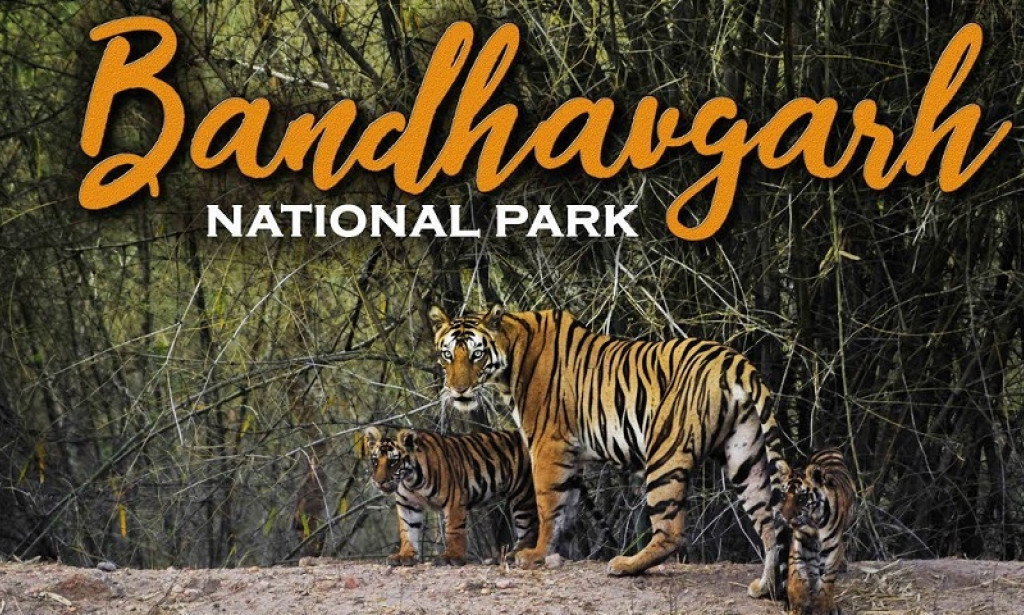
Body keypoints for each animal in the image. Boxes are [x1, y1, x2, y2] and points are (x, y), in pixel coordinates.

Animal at [362, 426, 538, 566]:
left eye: (393, 462)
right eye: (375, 461)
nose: (379, 482)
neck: (410, 480)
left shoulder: (454, 499)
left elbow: (453, 530)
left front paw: (451, 557)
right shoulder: (407, 504)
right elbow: (407, 530)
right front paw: (405, 555)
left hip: (522, 496)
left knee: (529, 529)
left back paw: (513, 555)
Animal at [427, 305, 790, 598]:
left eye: (476, 355)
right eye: (448, 355)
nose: (458, 390)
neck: (511, 354)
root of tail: (736, 362)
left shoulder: (547, 444)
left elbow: (547, 504)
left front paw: (535, 554)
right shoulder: (570, 454)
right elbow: (566, 507)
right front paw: (557, 553)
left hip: (665, 451)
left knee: (671, 531)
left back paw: (625, 565)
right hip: (745, 455)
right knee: (769, 523)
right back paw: (766, 587)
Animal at [779, 449, 856, 615]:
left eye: (801, 498)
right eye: (784, 495)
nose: (786, 517)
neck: (813, 522)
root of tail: (829, 448)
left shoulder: (832, 548)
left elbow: (826, 584)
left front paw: (822, 607)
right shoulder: (799, 543)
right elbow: (796, 576)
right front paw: (796, 606)